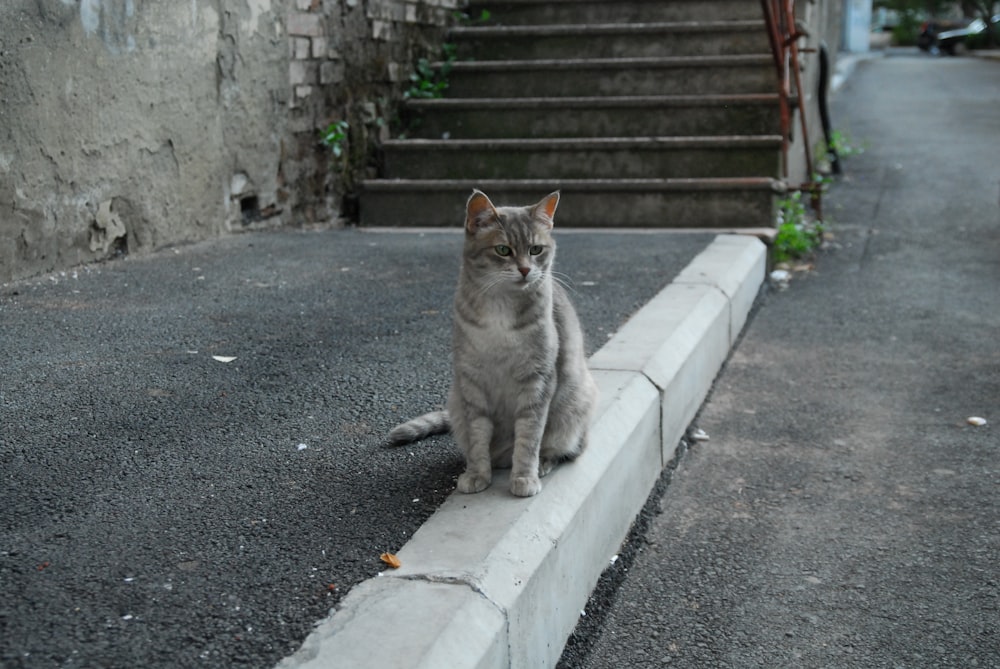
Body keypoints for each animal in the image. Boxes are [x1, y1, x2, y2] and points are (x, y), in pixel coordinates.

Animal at [388, 188, 592, 496]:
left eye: (535, 250)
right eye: (503, 250)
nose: (525, 270)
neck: (500, 307)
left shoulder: (538, 381)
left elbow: (529, 437)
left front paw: (525, 476)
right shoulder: (472, 382)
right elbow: (477, 438)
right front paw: (477, 474)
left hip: (573, 405)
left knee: (565, 449)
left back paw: (544, 462)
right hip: (457, 400)